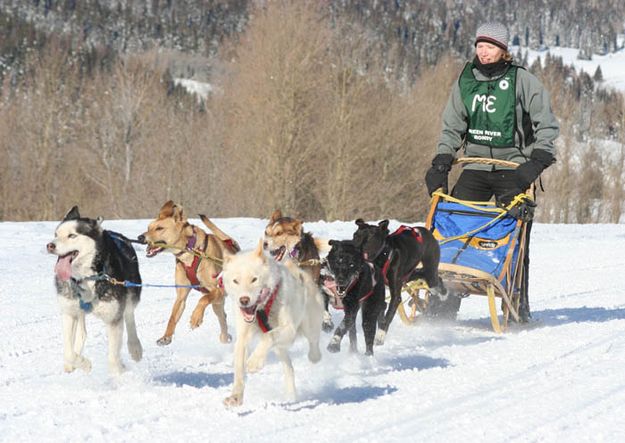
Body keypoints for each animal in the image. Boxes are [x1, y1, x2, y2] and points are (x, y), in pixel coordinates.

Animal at [139, 200, 239, 346]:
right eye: (148, 227)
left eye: (159, 228)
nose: (140, 237)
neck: (190, 250)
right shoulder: (181, 295)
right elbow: (173, 316)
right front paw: (166, 336)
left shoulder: (218, 289)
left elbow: (203, 299)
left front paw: (196, 318)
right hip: (218, 303)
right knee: (222, 318)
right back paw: (225, 338)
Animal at [219, 241, 324, 408]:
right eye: (236, 281)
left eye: (254, 279)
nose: (244, 300)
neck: (262, 308)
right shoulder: (243, 337)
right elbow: (239, 368)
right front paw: (236, 396)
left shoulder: (288, 329)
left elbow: (267, 337)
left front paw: (254, 362)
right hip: (280, 347)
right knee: (288, 367)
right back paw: (291, 395)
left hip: (309, 325)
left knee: (313, 342)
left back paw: (314, 356)